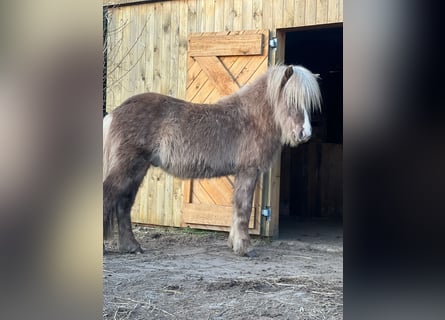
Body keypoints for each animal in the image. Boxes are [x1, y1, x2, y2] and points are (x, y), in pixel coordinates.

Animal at [103, 64, 320, 255]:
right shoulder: (248, 171)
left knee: (124, 204)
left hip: (138, 168)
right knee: (109, 196)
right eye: (292, 100)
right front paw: (244, 248)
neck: (250, 119)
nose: (305, 134)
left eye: (308, 104)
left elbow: (237, 207)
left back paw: (132, 247)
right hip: (128, 166)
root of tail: (115, 112)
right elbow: (243, 207)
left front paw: (234, 244)